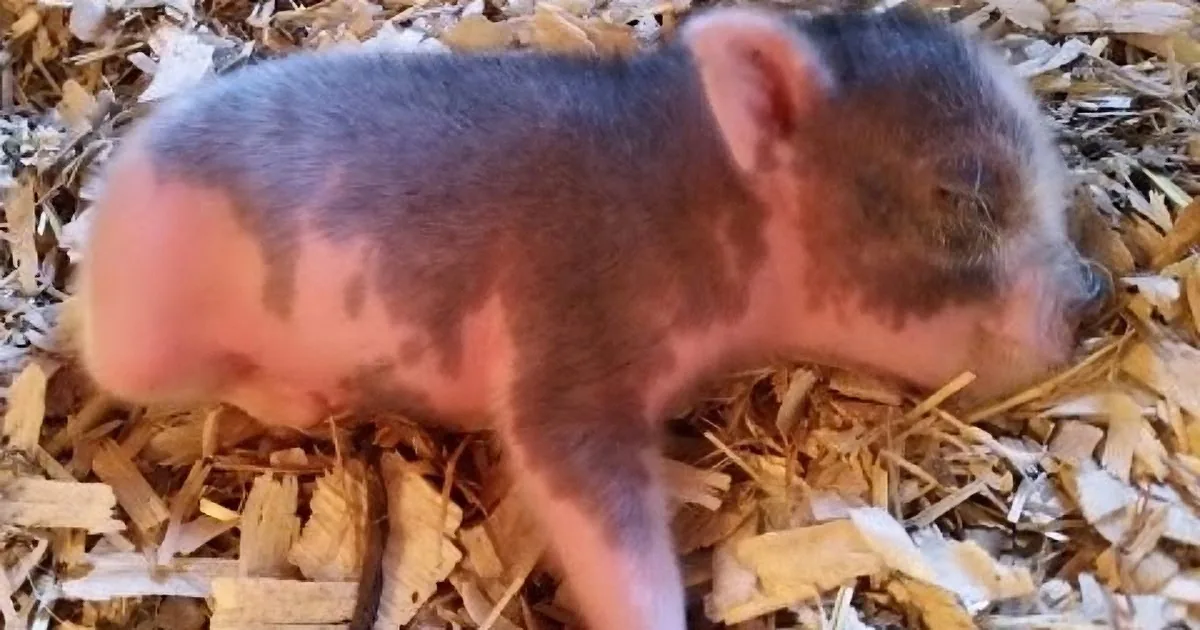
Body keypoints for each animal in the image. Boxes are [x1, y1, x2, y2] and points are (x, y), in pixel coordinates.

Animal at [74, 5, 1110, 629]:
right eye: (962, 196)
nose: (1097, 295)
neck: (695, 210)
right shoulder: (562, 352)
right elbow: (608, 527)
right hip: (146, 341)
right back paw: (308, 399)